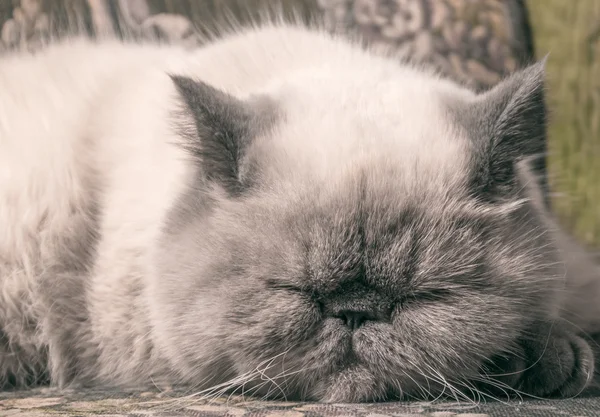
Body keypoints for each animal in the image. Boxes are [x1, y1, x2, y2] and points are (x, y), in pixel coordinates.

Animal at [1, 21, 600, 402]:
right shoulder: (129, 341)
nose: (356, 311)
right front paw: (536, 363)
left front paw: (549, 359)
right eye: (292, 291)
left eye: (425, 296)